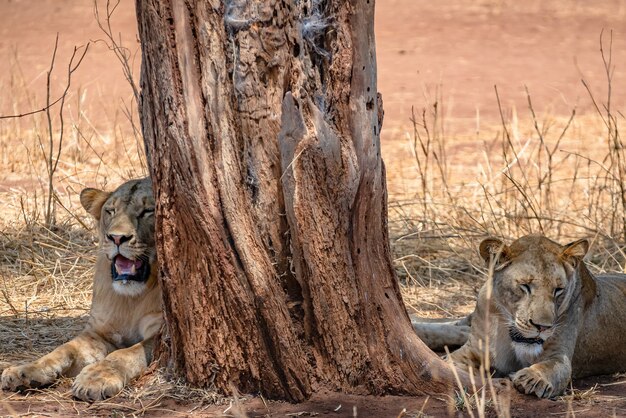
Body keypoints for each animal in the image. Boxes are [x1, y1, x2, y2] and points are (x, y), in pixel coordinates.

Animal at [0, 177, 161, 402]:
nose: (117, 238)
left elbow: (126, 354)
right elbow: (63, 349)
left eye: (148, 211)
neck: (131, 300)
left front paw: (95, 379)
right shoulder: (98, 332)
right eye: (110, 211)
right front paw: (25, 371)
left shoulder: (162, 333)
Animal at [410, 235, 624, 398]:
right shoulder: (472, 351)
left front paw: (533, 378)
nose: (543, 327)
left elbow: (554, 366)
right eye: (525, 286)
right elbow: (449, 363)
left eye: (558, 290)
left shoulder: (559, 355)